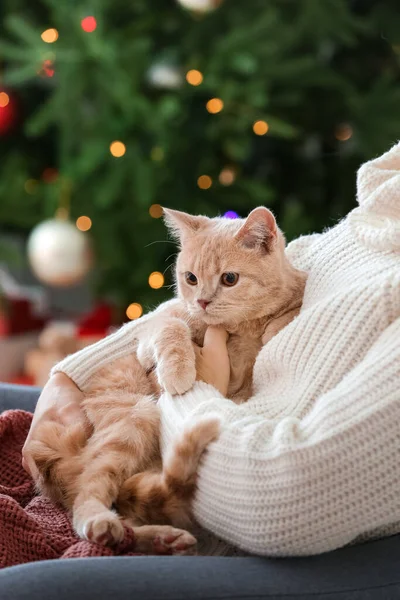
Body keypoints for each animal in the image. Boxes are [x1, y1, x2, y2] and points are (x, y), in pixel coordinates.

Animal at [32, 206, 306, 552]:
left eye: (229, 278)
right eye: (191, 278)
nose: (202, 301)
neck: (239, 328)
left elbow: (288, 310)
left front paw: (277, 325)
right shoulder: (154, 332)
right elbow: (173, 327)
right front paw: (177, 372)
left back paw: (160, 538)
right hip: (136, 416)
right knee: (88, 491)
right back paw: (103, 523)